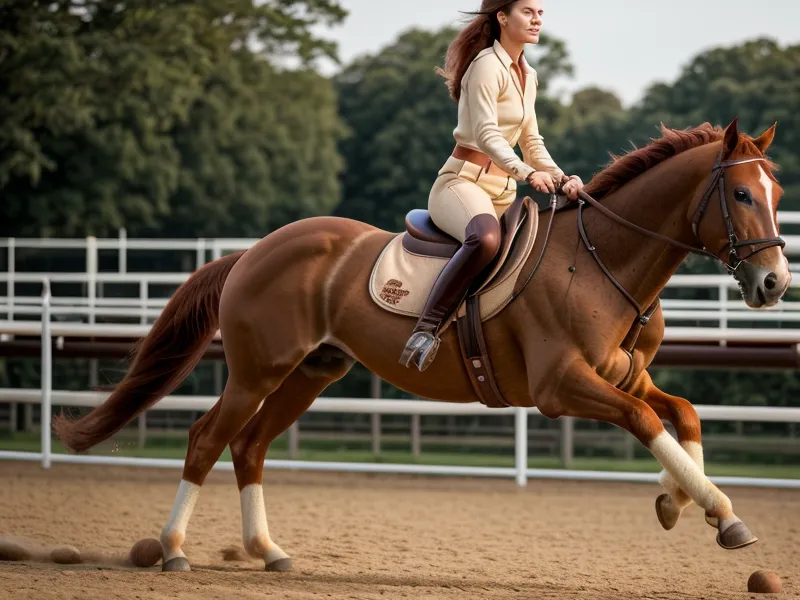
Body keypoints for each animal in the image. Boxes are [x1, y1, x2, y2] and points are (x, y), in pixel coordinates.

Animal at [53, 117, 790, 573]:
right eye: (741, 193)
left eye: (777, 191)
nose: (775, 281)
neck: (601, 260)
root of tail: (254, 250)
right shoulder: (562, 388)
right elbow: (645, 420)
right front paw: (717, 511)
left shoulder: (624, 376)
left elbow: (683, 415)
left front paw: (680, 501)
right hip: (258, 371)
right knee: (208, 440)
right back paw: (174, 548)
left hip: (312, 373)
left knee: (250, 447)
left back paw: (268, 550)